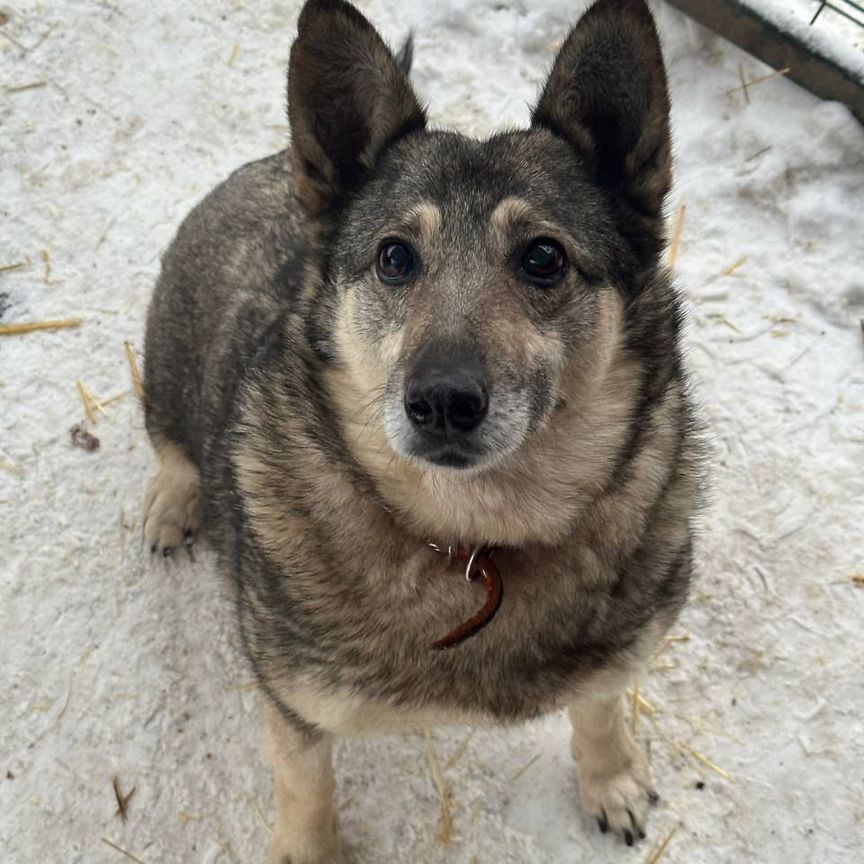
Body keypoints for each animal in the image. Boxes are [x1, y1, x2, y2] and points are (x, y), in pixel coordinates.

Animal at [143, 0, 704, 856]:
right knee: (171, 445)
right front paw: (309, 849)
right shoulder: (295, 702)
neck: (474, 539)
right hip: (165, 357)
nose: (441, 401)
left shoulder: (623, 646)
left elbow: (602, 702)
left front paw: (610, 778)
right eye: (395, 257)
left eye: (544, 257)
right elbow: (305, 788)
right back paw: (174, 502)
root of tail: (273, 160)